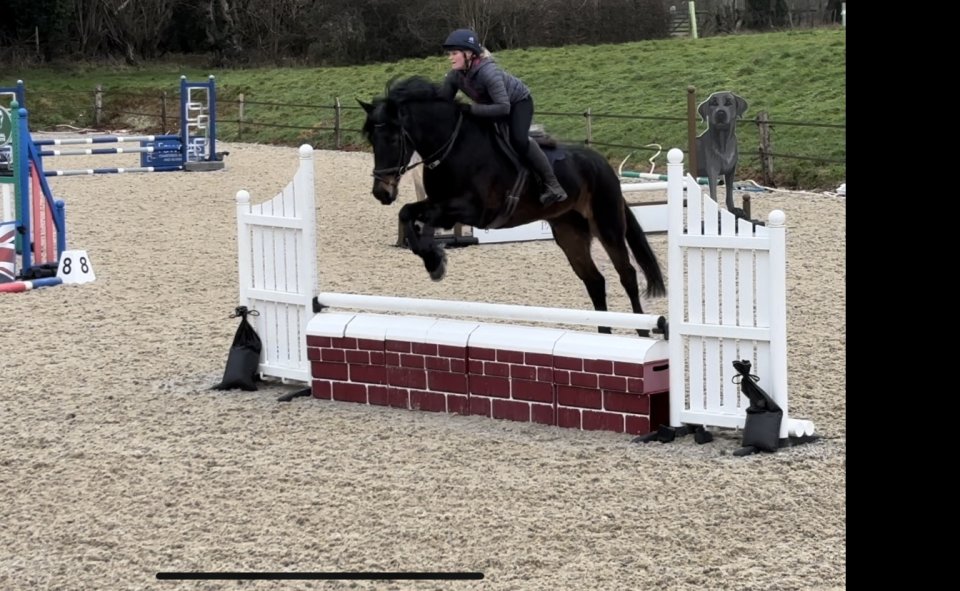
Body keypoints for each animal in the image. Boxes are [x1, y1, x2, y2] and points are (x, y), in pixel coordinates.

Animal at [359, 76, 666, 334]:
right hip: (569, 232)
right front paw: (433, 260)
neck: (453, 147)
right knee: (595, 281)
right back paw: (604, 333)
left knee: (627, 274)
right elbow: (407, 214)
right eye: (372, 139)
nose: (381, 192)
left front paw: (435, 260)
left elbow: (421, 219)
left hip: (607, 224)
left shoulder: (472, 210)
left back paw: (641, 331)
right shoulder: (439, 206)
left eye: (393, 138)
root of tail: (602, 163)